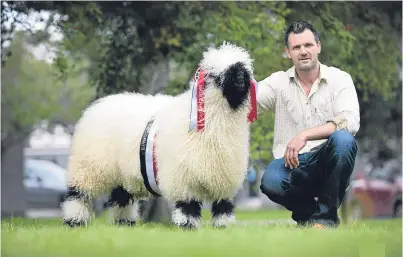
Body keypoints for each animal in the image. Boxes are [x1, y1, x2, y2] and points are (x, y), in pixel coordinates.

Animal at [62, 42, 258, 228]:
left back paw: (124, 223)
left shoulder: (224, 178)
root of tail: (98, 104)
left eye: (244, 71)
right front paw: (188, 226)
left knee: (121, 197)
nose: (240, 79)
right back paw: (75, 220)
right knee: (78, 194)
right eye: (217, 75)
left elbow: (223, 207)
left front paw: (223, 228)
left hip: (121, 172)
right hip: (88, 167)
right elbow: (188, 206)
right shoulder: (183, 178)